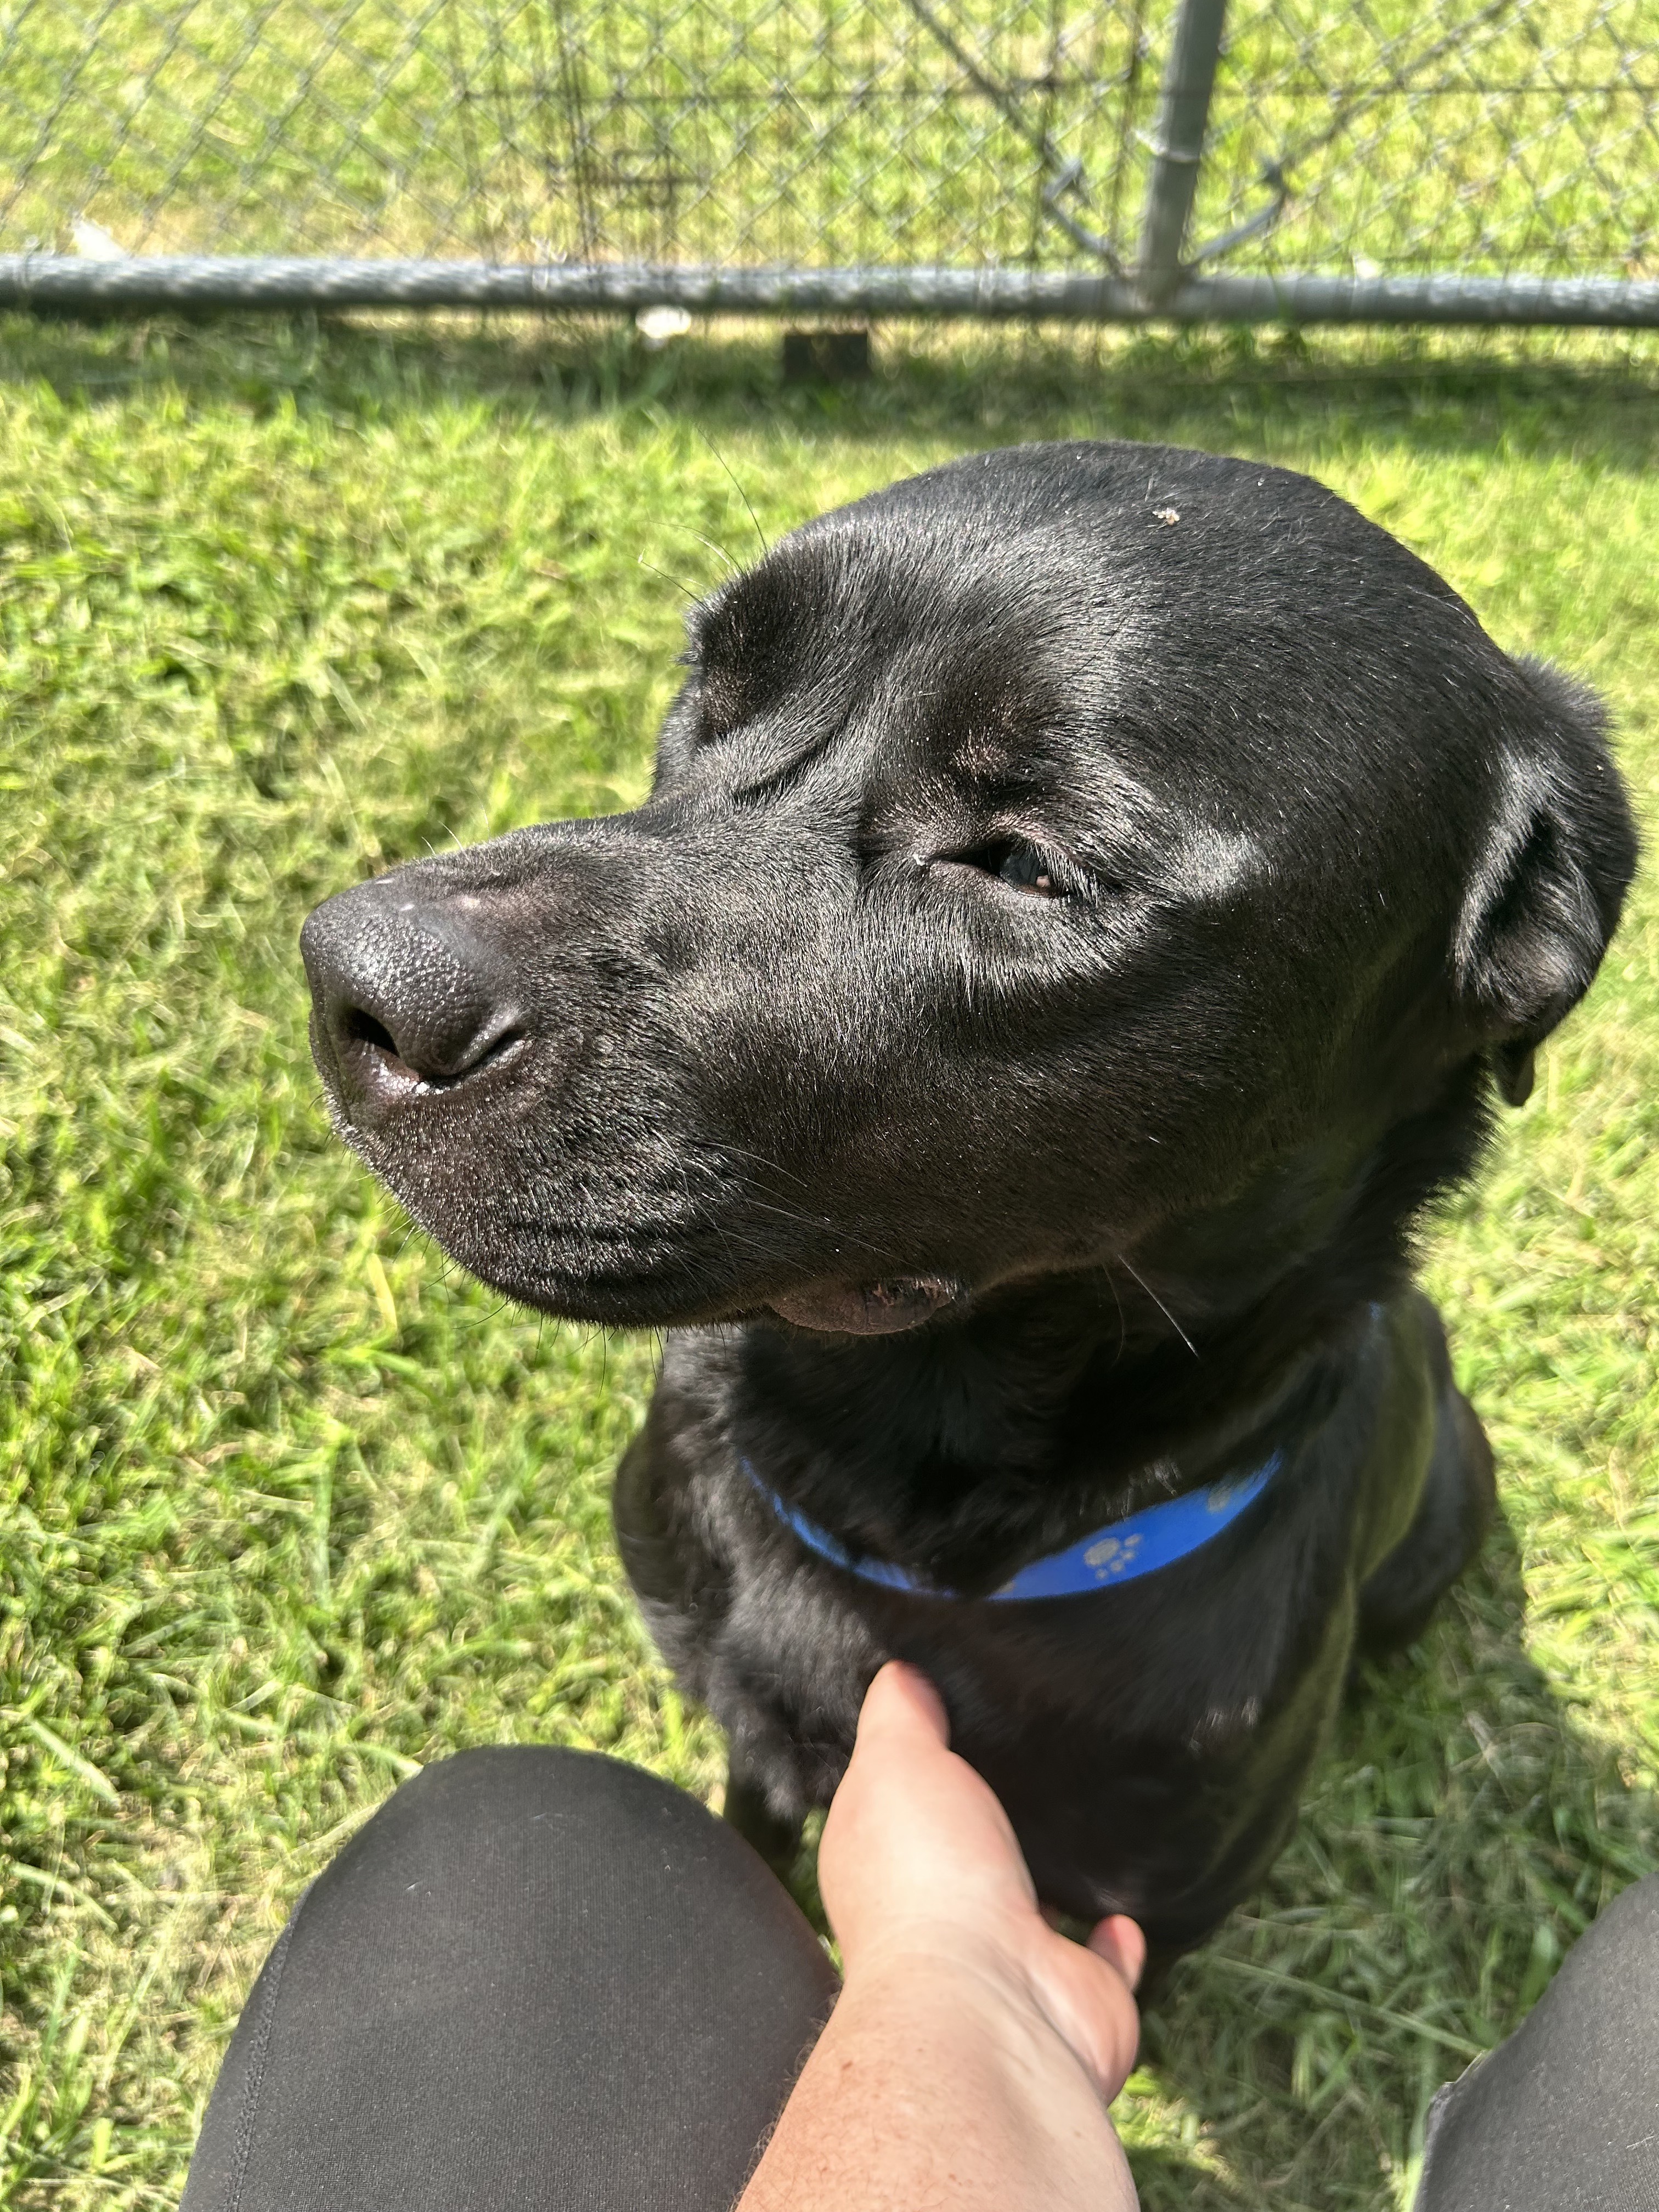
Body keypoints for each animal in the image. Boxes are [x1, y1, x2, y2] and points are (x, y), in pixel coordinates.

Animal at [298, 440, 1637, 1964]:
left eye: (1032, 865)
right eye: (710, 691)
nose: (357, 985)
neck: (899, 1532)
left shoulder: (1144, 1912)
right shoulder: (748, 1726)